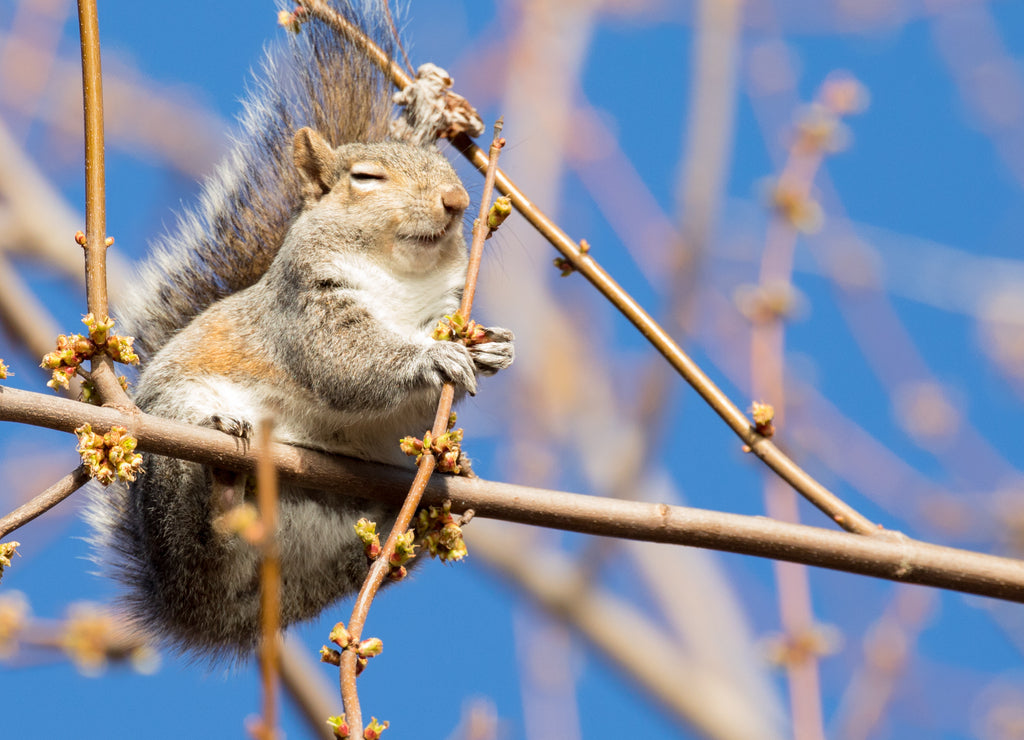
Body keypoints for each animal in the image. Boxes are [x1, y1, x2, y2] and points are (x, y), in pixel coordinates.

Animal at [88, 0, 513, 659]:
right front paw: (431, 359)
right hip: (170, 460)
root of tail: (200, 614)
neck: (399, 275)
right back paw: (222, 477)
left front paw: (488, 346)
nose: (456, 200)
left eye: (448, 169)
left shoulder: (440, 305)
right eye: (366, 179)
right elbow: (345, 362)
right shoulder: (308, 307)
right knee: (200, 532)